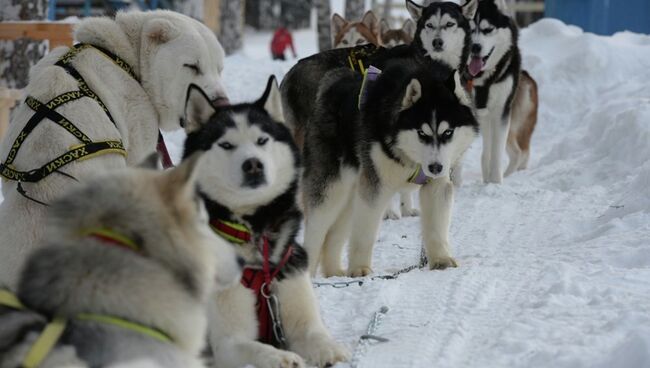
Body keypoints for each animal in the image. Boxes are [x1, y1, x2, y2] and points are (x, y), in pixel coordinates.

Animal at [181, 76, 350, 366]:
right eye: (226, 145)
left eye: (262, 140)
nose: (253, 164)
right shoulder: (228, 343)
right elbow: (255, 348)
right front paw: (282, 357)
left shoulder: (294, 294)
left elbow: (317, 335)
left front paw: (332, 350)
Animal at [302, 63, 476, 278]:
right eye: (421, 133)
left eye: (448, 132)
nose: (435, 167)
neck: (413, 159)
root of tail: (334, 79)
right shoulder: (375, 187)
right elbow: (365, 233)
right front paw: (360, 269)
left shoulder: (437, 185)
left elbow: (436, 225)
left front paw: (441, 259)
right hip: (331, 190)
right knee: (316, 229)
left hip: (351, 195)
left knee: (334, 233)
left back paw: (334, 272)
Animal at [466, 0, 520, 183]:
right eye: (469, 30)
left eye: (487, 29)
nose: (474, 47)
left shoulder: (501, 111)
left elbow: (495, 152)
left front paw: (495, 182)